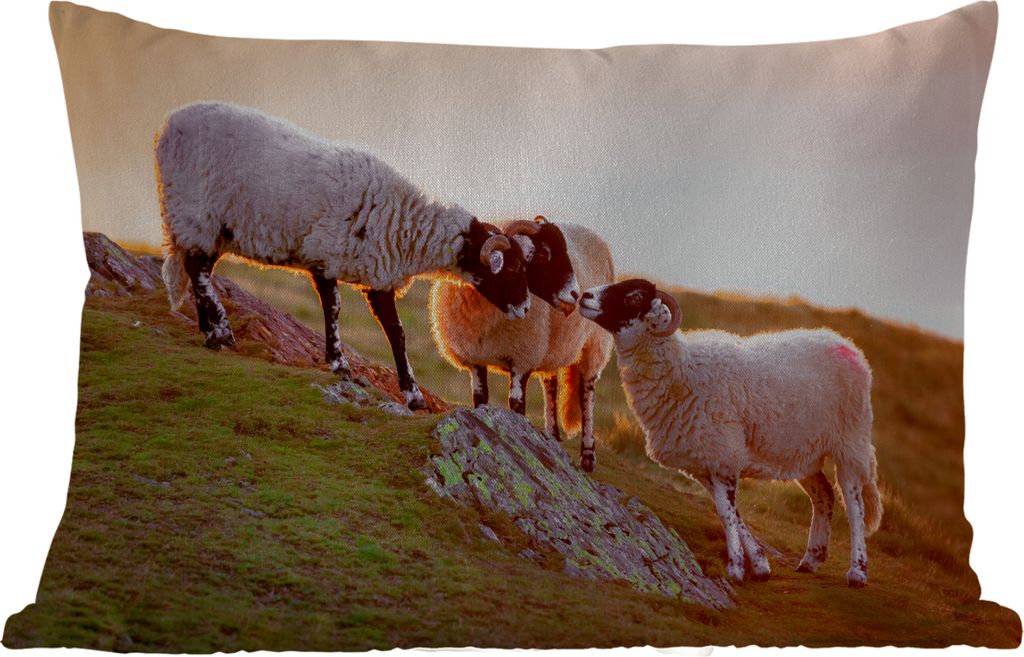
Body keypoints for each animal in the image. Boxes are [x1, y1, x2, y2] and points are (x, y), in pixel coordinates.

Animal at [155, 102, 530, 410]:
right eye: (510, 268)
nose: (527, 309)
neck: (404, 224)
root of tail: (170, 124)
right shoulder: (324, 256)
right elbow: (335, 309)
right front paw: (339, 364)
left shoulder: (378, 277)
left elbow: (397, 333)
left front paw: (413, 396)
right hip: (196, 213)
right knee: (196, 269)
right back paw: (221, 333)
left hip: (215, 228)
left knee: (197, 270)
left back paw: (208, 331)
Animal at [430, 218, 615, 471]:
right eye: (544, 254)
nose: (575, 294)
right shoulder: (476, 358)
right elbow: (480, 398)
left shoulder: (523, 358)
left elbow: (516, 404)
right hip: (551, 348)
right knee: (550, 387)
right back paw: (552, 436)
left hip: (595, 344)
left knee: (587, 396)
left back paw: (588, 457)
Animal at [578, 279, 882, 587]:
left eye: (635, 297)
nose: (584, 296)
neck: (681, 369)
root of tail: (848, 345)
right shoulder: (703, 462)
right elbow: (728, 512)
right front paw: (759, 563)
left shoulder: (723, 454)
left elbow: (726, 513)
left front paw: (736, 567)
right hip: (804, 451)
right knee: (824, 495)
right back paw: (810, 560)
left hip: (850, 441)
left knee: (854, 505)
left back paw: (857, 571)